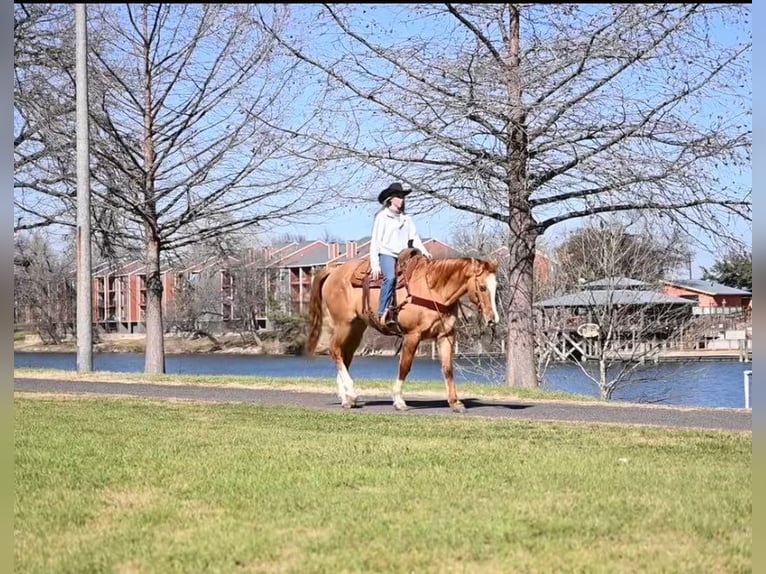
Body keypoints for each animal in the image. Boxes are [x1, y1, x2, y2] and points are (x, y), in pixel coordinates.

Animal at [308, 252, 504, 414]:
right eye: (482, 287)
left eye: (496, 287)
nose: (493, 319)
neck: (434, 291)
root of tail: (334, 270)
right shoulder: (412, 335)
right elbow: (405, 366)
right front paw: (399, 400)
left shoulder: (446, 335)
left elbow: (448, 369)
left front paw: (455, 403)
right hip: (343, 324)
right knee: (334, 350)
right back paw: (351, 392)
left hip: (356, 328)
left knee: (345, 355)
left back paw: (347, 398)